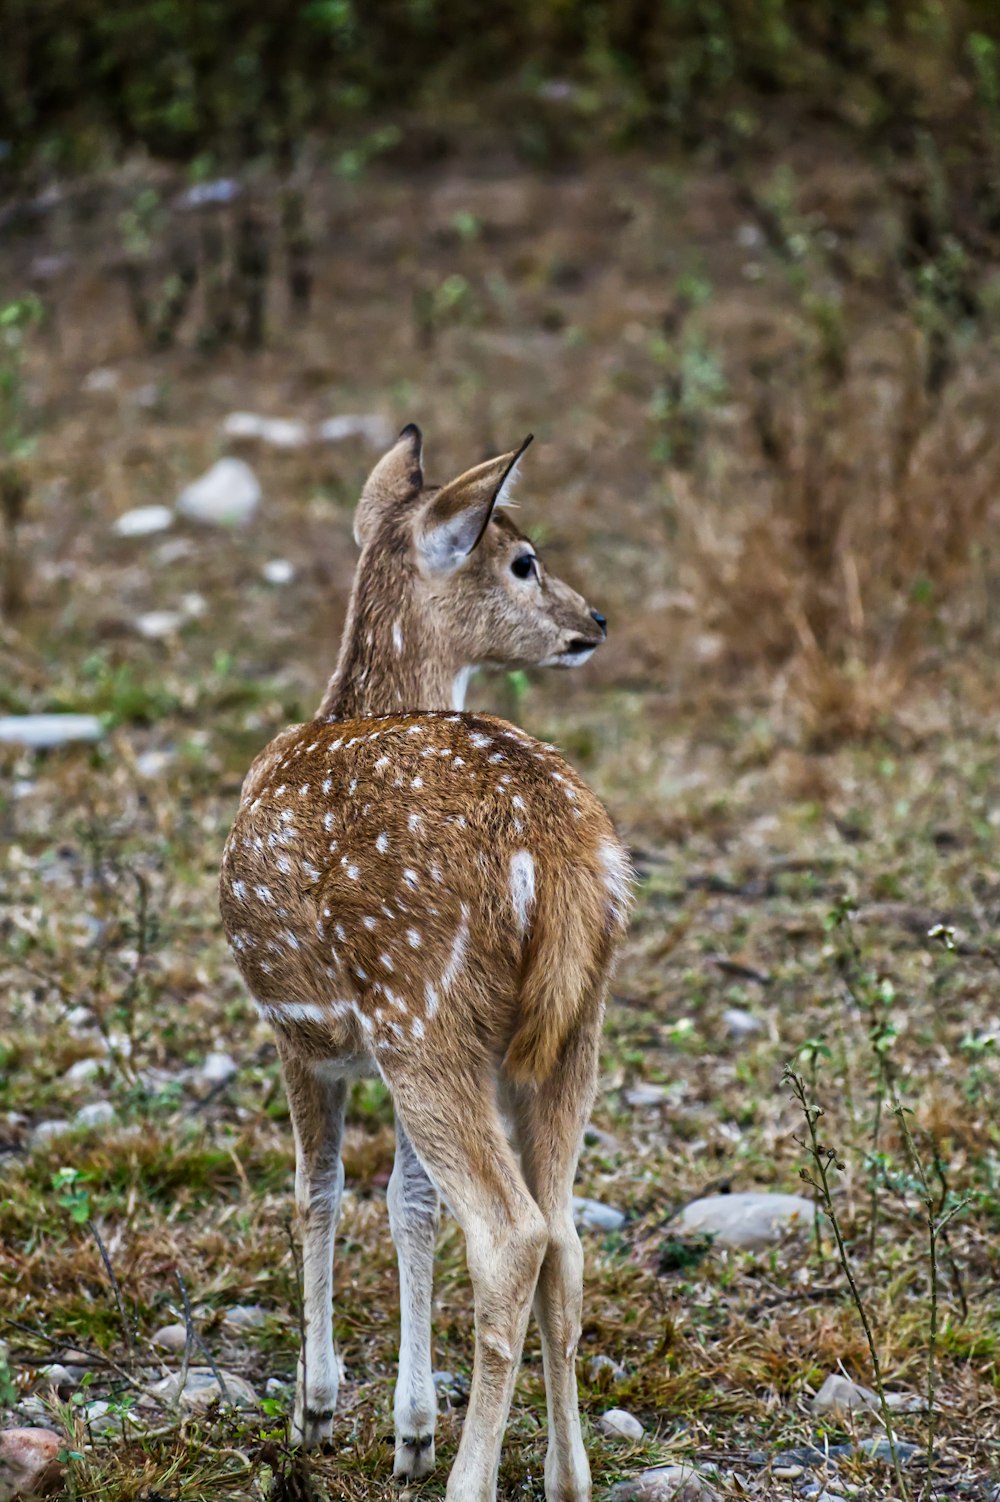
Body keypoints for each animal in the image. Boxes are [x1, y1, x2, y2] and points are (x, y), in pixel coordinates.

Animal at [217, 423, 627, 1502]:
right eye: (523, 559)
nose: (594, 618)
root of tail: (548, 851)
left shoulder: (301, 1033)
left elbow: (315, 1193)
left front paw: (318, 1411)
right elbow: (406, 1207)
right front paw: (406, 1428)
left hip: (422, 1006)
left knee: (512, 1232)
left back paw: (471, 1481)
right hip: (569, 1026)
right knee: (564, 1233)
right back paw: (568, 1476)